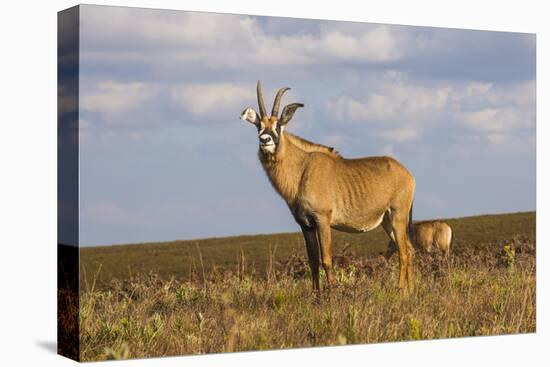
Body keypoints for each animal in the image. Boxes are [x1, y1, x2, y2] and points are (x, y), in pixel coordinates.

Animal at [242, 81, 418, 296]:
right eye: (259, 125)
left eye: (279, 125)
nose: (265, 140)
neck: (302, 168)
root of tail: (408, 174)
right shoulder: (306, 225)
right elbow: (313, 261)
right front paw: (316, 295)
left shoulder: (322, 220)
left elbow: (326, 259)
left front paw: (332, 293)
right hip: (386, 221)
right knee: (409, 250)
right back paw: (411, 290)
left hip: (397, 216)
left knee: (403, 252)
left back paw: (400, 289)